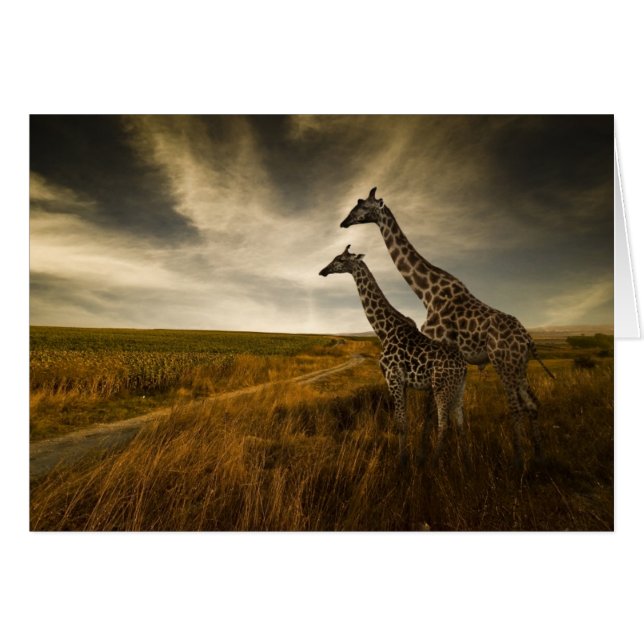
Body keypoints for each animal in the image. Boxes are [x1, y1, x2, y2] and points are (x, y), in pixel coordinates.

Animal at [319, 245, 467, 467]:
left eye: (340, 260)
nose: (323, 271)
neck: (384, 330)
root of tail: (464, 367)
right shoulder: (402, 383)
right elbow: (402, 421)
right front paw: (405, 457)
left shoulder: (393, 378)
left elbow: (400, 423)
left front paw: (401, 461)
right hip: (457, 390)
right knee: (460, 424)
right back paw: (464, 458)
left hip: (442, 388)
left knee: (444, 425)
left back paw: (435, 460)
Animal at [339, 188, 555, 468]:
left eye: (362, 206)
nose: (344, 222)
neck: (426, 291)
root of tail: (528, 340)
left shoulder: (438, 348)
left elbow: (431, 411)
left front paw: (426, 455)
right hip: (519, 366)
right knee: (532, 404)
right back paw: (539, 457)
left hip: (503, 363)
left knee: (516, 407)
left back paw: (519, 460)